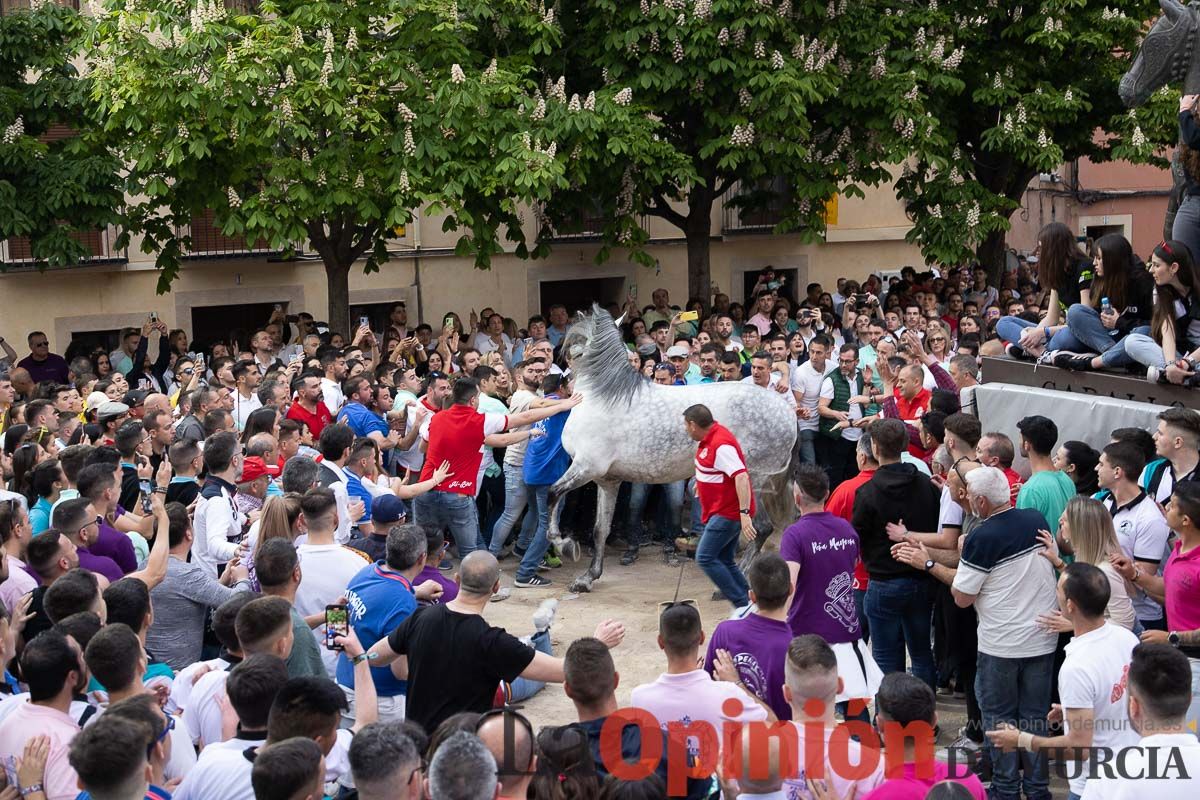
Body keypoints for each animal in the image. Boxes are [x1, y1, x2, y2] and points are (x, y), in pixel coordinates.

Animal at [549, 307, 796, 594]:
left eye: (574, 347)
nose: (563, 375)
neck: (602, 399)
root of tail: (788, 413)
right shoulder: (606, 480)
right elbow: (601, 529)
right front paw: (587, 578)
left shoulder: (586, 468)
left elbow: (552, 493)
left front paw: (564, 544)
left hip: (752, 481)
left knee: (761, 528)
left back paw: (736, 582)